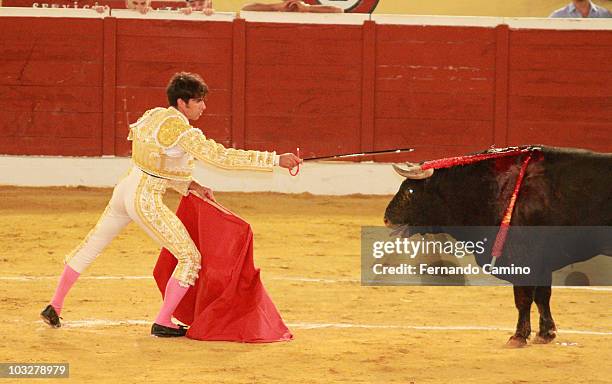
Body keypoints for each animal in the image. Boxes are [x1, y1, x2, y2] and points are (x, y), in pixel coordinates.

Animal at [384, 146, 608, 346]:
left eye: (410, 190)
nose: (386, 219)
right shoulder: (542, 263)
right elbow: (542, 296)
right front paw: (546, 334)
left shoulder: (523, 259)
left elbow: (523, 298)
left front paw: (518, 337)